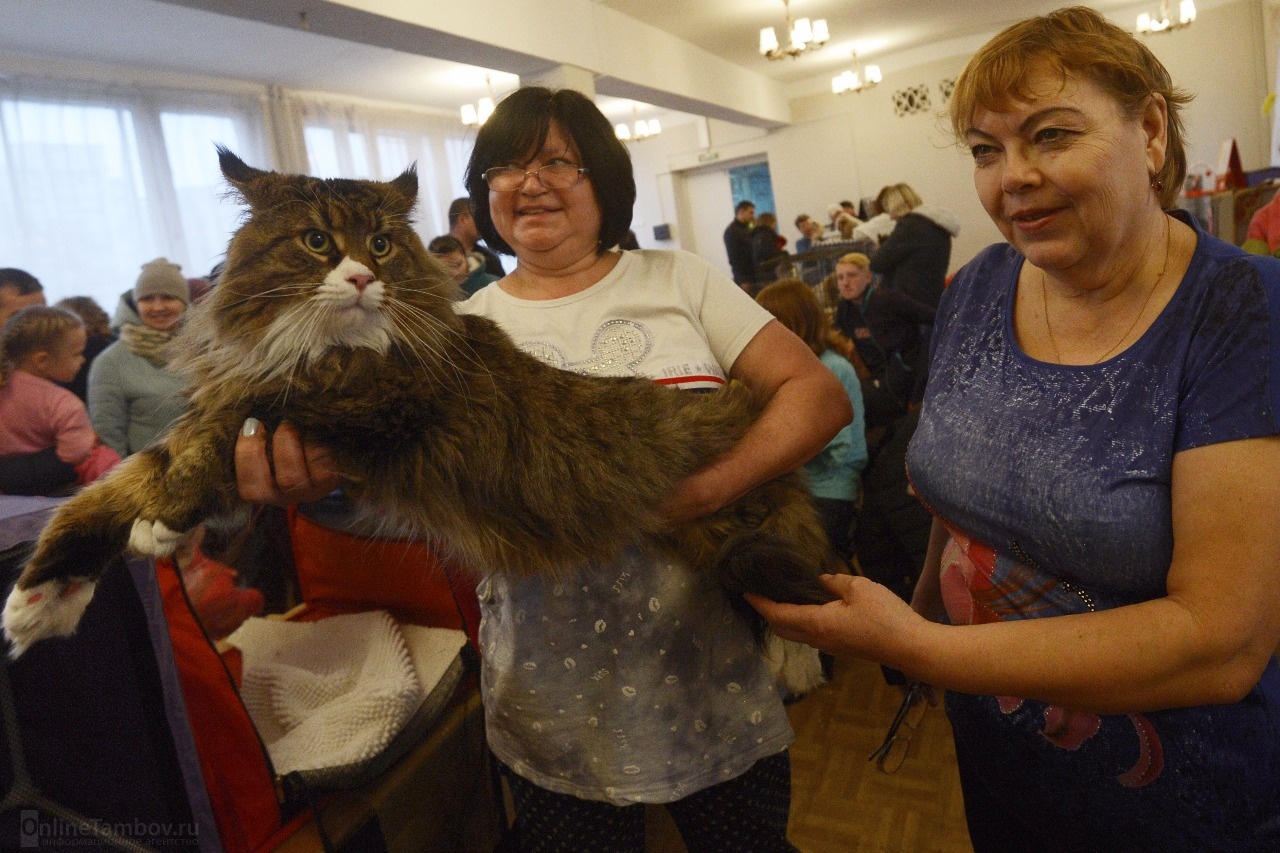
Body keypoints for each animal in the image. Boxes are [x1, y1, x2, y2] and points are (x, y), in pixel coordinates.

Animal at [5, 147, 839, 686]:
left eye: (379, 242)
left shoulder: (343, 402)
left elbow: (196, 459)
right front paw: (44, 597)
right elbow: (107, 492)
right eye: (316, 241)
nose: (361, 277)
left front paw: (163, 523)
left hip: (752, 534)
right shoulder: (250, 407)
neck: (321, 348)